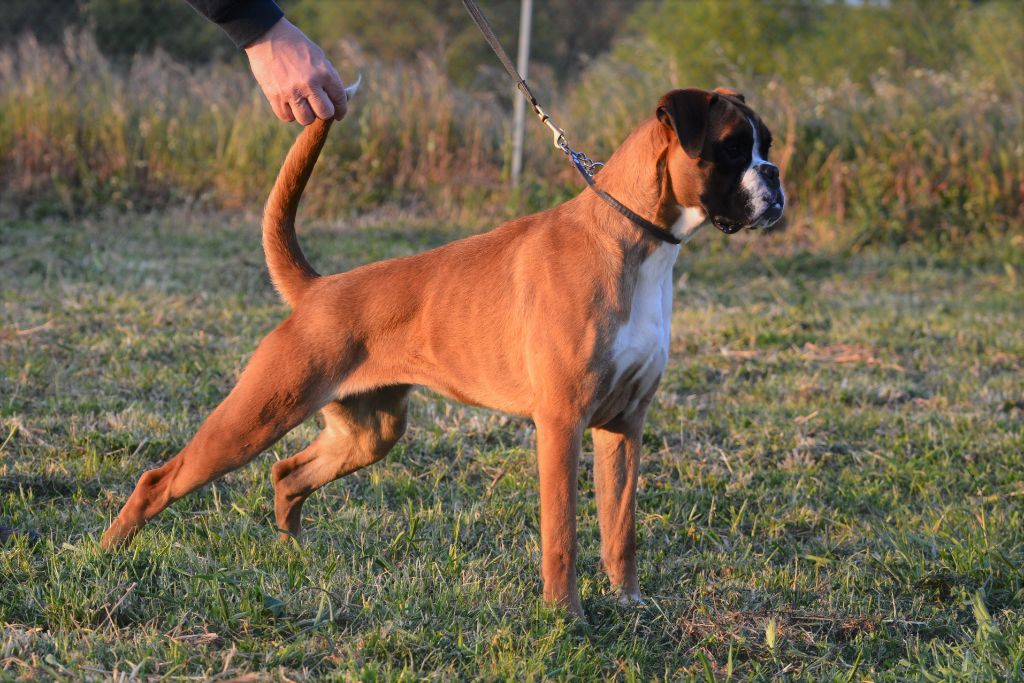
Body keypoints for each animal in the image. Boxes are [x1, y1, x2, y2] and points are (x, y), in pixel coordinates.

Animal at [101, 88, 782, 618]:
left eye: (765, 143)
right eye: (731, 147)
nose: (775, 177)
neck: (635, 239)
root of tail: (318, 289)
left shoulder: (624, 427)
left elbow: (622, 531)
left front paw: (631, 606)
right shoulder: (561, 426)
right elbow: (562, 535)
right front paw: (566, 617)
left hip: (369, 433)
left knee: (287, 474)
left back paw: (295, 554)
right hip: (257, 415)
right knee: (160, 478)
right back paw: (106, 556)